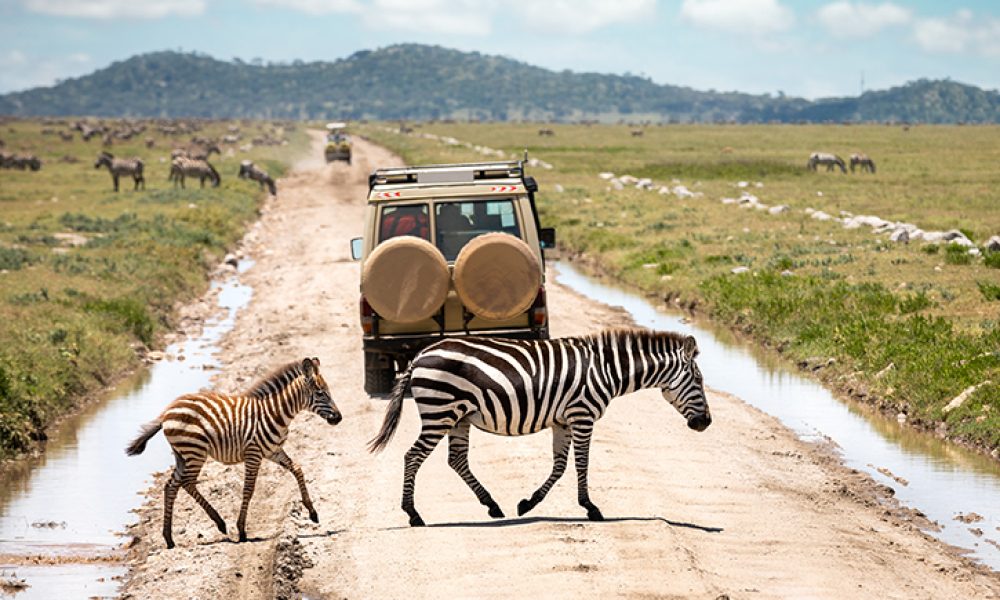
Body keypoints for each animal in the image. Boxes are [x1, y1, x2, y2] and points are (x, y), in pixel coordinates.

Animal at [124, 356, 344, 548]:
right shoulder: (254, 453)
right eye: (320, 393)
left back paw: (169, 538)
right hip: (195, 451)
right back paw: (220, 524)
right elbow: (248, 489)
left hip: (182, 455)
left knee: (172, 485)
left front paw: (312, 512)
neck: (276, 413)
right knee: (187, 482)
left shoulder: (274, 451)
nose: (339, 418)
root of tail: (167, 412)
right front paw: (242, 531)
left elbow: (297, 469)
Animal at [370, 328, 712, 524]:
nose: (706, 423)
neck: (605, 370)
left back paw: (493, 506)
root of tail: (420, 355)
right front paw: (591, 508)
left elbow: (560, 466)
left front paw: (528, 503)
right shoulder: (582, 415)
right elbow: (582, 464)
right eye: (698, 380)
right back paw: (413, 514)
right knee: (413, 456)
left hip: (458, 417)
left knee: (456, 460)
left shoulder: (563, 421)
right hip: (440, 411)